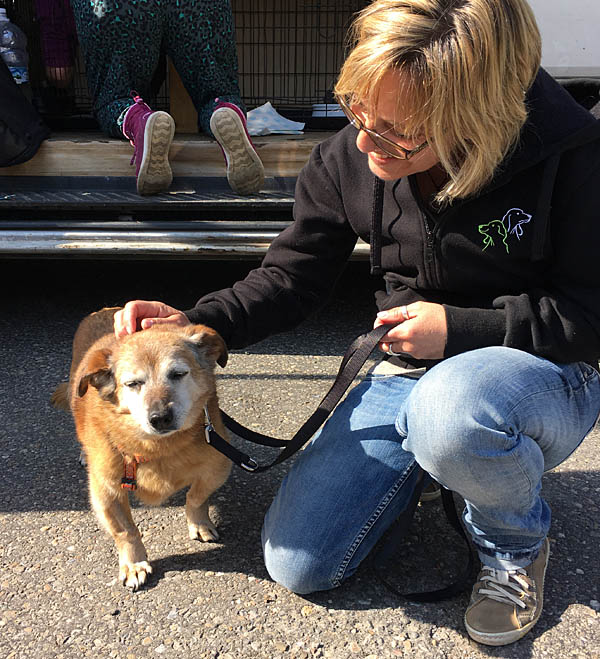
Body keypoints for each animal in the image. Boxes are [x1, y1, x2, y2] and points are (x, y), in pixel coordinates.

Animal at [52, 307, 232, 590]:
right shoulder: (106, 491)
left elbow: (196, 497)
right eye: (133, 383)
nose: (160, 418)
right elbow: (126, 531)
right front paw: (134, 563)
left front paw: (199, 523)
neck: (157, 447)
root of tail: (105, 309)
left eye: (178, 374)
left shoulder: (219, 466)